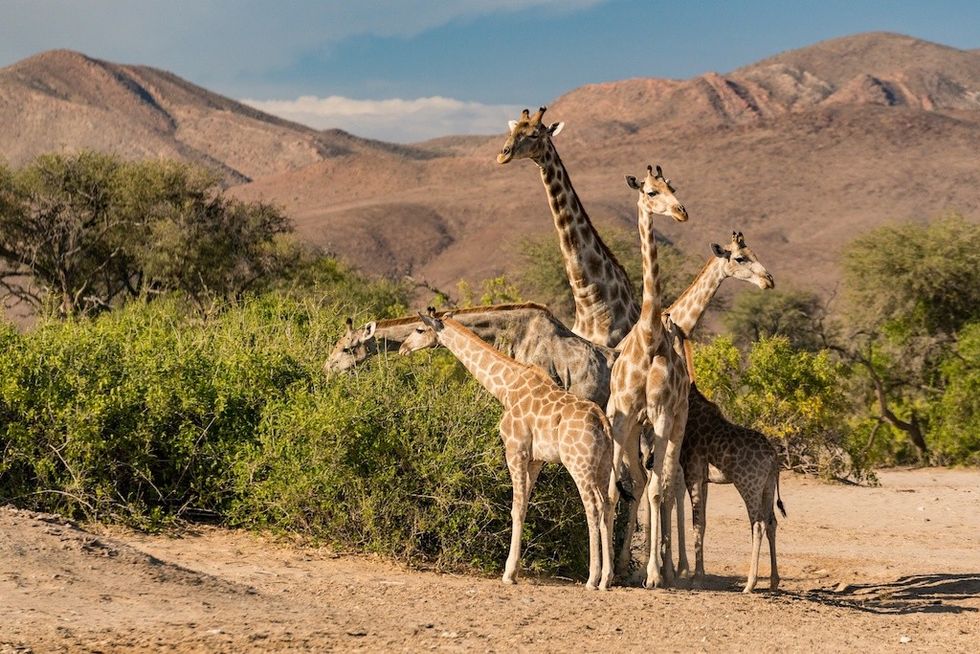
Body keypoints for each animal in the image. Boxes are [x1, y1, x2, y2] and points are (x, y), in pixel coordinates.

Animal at [415, 311, 616, 589]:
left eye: (419, 329)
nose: (403, 348)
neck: (505, 388)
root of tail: (603, 422)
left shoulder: (515, 449)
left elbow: (515, 507)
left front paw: (509, 573)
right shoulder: (535, 459)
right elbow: (524, 505)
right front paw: (514, 569)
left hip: (578, 462)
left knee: (593, 506)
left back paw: (592, 578)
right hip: (604, 463)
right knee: (608, 505)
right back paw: (607, 578)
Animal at [680, 383, 786, 592]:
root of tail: (773, 457)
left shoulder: (692, 475)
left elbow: (696, 523)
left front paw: (696, 580)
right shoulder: (704, 481)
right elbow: (703, 522)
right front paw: (699, 576)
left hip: (748, 485)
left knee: (758, 524)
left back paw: (750, 584)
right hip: (768, 486)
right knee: (771, 522)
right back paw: (773, 582)